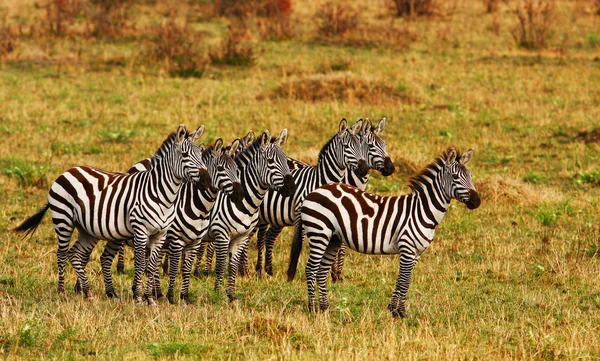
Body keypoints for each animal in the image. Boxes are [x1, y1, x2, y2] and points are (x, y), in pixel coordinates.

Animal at [12, 124, 212, 304]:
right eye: (185, 155)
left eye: (201, 155)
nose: (207, 181)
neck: (162, 194)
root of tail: (69, 170)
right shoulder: (141, 231)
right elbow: (141, 264)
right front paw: (139, 298)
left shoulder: (160, 234)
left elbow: (151, 266)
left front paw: (150, 299)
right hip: (63, 219)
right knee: (61, 254)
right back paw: (61, 292)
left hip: (87, 229)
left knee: (75, 255)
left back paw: (88, 293)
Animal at [97, 136, 243, 302]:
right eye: (220, 169)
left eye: (236, 169)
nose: (240, 194)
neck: (196, 205)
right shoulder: (175, 240)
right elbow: (173, 268)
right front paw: (171, 297)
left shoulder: (194, 241)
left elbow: (185, 270)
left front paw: (183, 297)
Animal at [204, 128, 296, 300]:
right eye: (270, 161)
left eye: (286, 161)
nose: (291, 188)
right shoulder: (222, 234)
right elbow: (221, 265)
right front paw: (217, 294)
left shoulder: (242, 236)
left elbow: (232, 266)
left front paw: (231, 295)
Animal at [254, 118, 398, 278]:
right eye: (370, 146)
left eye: (384, 144)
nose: (391, 168)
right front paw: (331, 273)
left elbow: (341, 245)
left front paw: (336, 275)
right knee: (259, 236)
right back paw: (255, 271)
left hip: (278, 215)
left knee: (268, 236)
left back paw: (268, 270)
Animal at [298, 146, 480, 316]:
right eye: (455, 177)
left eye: (470, 176)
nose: (477, 201)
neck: (422, 210)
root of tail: (316, 191)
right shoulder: (407, 248)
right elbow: (404, 281)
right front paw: (400, 312)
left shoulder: (416, 253)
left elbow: (402, 280)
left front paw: (395, 310)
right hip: (319, 233)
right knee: (311, 269)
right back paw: (312, 308)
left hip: (333, 238)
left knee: (321, 271)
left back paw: (325, 308)